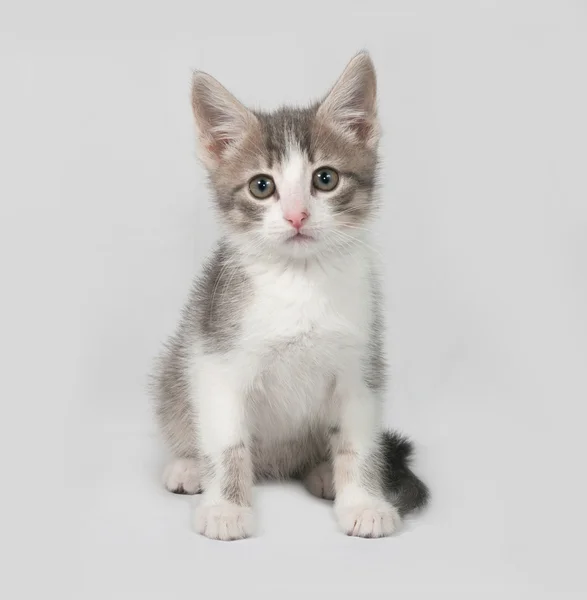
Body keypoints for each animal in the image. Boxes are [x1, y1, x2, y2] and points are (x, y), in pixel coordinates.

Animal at [152, 50, 428, 540]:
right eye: (261, 186)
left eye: (326, 178)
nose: (297, 215)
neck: (300, 282)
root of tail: (275, 466)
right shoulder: (216, 357)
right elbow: (228, 443)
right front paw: (226, 509)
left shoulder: (359, 366)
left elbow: (357, 442)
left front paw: (363, 502)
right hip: (176, 367)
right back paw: (189, 466)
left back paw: (322, 472)